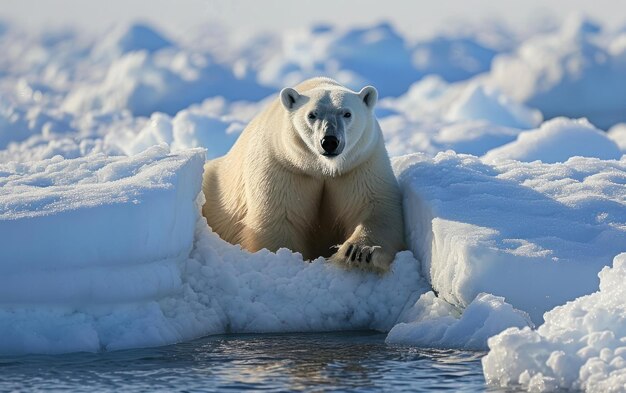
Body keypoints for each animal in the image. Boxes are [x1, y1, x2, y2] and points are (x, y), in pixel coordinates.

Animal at [201, 78, 404, 272]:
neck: (321, 168)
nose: (329, 141)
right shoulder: (284, 166)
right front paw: (285, 257)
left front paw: (359, 254)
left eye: (347, 113)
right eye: (312, 115)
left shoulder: (359, 165)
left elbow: (376, 208)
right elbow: (279, 217)